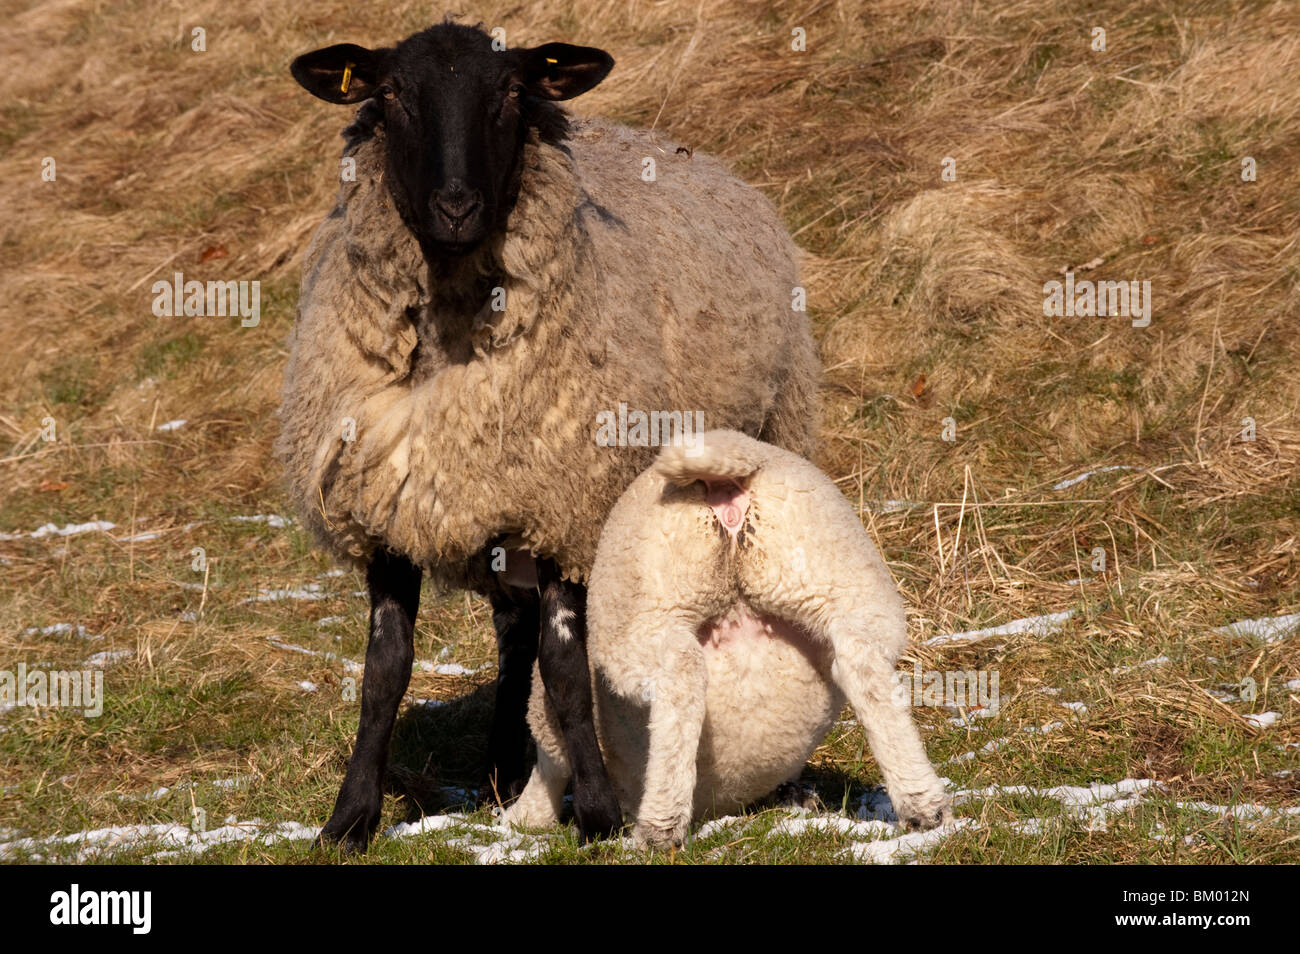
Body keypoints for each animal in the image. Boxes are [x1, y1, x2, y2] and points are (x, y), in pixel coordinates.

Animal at [276, 23, 820, 850]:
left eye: (509, 92)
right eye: (392, 93)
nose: (456, 206)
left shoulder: (573, 505)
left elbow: (565, 669)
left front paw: (596, 812)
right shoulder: (390, 511)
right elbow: (385, 672)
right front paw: (349, 819)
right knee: (512, 631)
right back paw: (503, 766)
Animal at [506, 429, 952, 849]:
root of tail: (724, 471)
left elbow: (552, 755)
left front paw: (527, 818)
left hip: (647, 601)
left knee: (681, 676)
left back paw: (660, 826)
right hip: (838, 577)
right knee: (864, 667)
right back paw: (923, 805)